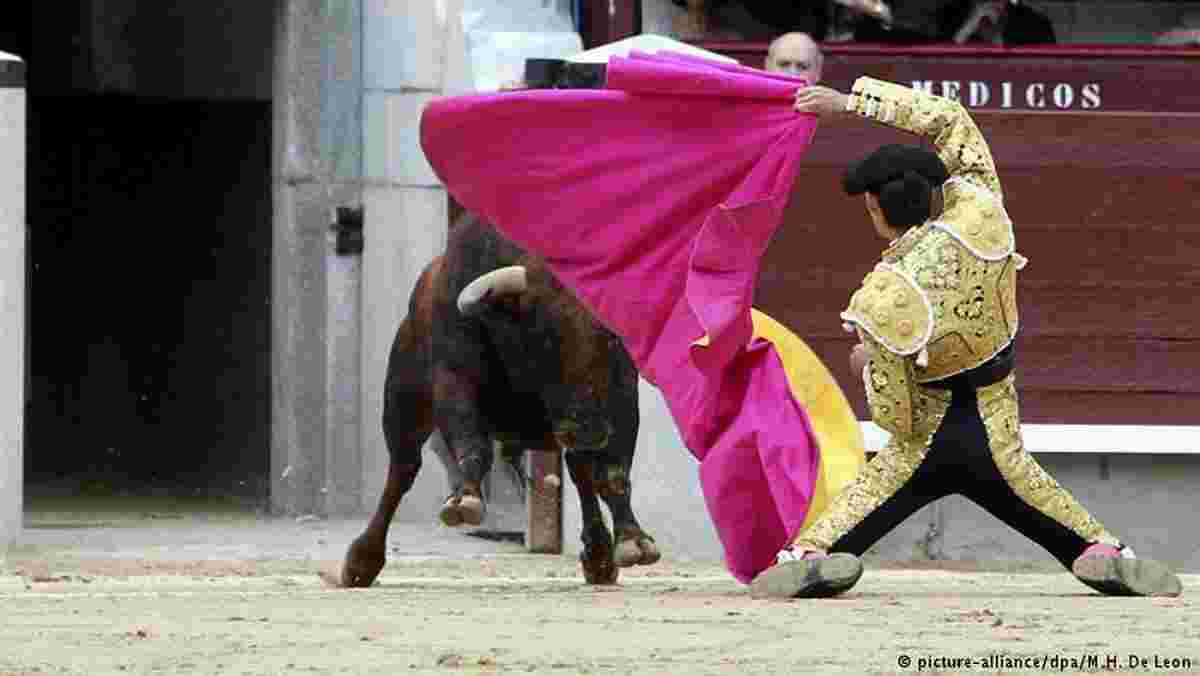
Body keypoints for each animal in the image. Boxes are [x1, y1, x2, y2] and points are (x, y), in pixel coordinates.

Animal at [338, 205, 660, 586]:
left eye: (613, 337)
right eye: (543, 334)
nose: (587, 428)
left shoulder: (622, 401)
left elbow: (613, 473)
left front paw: (633, 540)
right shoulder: (454, 379)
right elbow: (472, 445)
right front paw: (465, 500)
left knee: (580, 468)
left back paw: (598, 556)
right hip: (403, 402)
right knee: (401, 471)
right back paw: (362, 560)